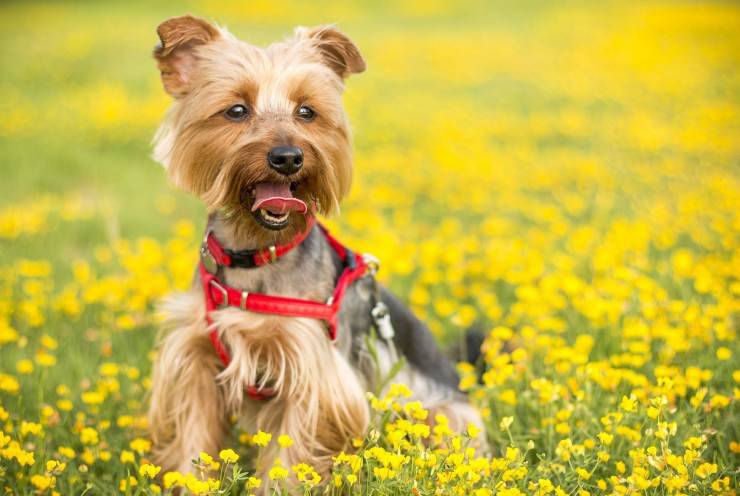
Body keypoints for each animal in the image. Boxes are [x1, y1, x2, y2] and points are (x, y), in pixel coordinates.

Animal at [149, 14, 486, 484]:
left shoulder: (313, 370)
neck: (256, 253)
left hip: (440, 413)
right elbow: (194, 437)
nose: (288, 157)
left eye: (307, 111)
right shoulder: (196, 357)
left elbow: (292, 455)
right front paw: (189, 484)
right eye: (236, 110)